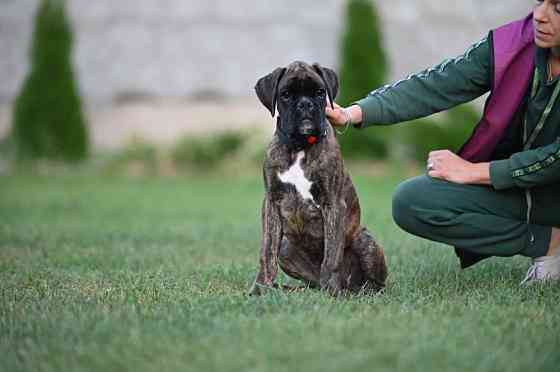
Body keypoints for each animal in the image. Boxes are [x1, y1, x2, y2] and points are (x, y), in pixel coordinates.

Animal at [248, 61, 384, 294]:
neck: (300, 146)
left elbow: (331, 254)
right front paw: (260, 288)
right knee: (311, 281)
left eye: (320, 92)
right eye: (286, 95)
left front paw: (332, 291)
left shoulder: (333, 204)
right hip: (286, 248)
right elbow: (267, 252)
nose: (305, 105)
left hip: (365, 241)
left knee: (375, 283)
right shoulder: (271, 202)